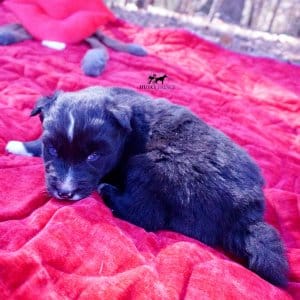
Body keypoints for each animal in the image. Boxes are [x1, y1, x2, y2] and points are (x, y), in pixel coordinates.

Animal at [5, 86, 288, 286]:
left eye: (93, 156)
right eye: (53, 149)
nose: (65, 192)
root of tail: (247, 214)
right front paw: (22, 145)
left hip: (152, 164)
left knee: (147, 215)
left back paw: (108, 191)